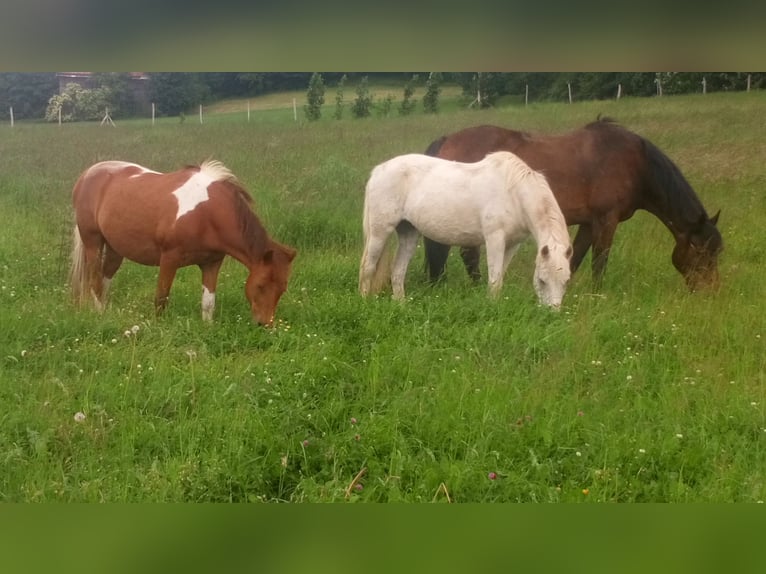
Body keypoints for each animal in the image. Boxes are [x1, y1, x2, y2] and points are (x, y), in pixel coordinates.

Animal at [69, 159, 297, 326]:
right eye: (260, 285)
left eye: (282, 288)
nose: (264, 323)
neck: (207, 214)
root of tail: (87, 174)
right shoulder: (169, 258)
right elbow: (161, 299)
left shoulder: (212, 263)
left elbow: (208, 302)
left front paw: (207, 329)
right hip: (93, 242)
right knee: (95, 281)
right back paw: (100, 315)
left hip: (116, 248)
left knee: (105, 278)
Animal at [359, 151, 573, 308]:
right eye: (542, 280)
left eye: (566, 281)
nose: (552, 313)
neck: (514, 193)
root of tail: (378, 170)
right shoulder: (495, 239)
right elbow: (495, 279)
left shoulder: (513, 244)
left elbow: (500, 275)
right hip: (379, 231)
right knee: (368, 267)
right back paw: (365, 302)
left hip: (409, 233)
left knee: (397, 271)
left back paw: (401, 305)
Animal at [423, 118, 723, 291]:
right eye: (702, 253)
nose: (711, 291)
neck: (636, 164)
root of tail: (447, 140)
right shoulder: (606, 220)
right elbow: (599, 262)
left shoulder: (589, 224)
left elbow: (575, 259)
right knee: (466, 255)